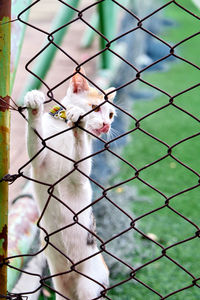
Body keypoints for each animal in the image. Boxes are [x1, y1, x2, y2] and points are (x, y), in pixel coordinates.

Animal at [24, 68, 116, 300]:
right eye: (96, 108)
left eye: (111, 115)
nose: (107, 125)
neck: (62, 129)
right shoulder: (39, 160)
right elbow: (35, 137)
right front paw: (34, 104)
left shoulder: (78, 178)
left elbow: (80, 150)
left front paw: (78, 125)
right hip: (60, 288)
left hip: (89, 286)